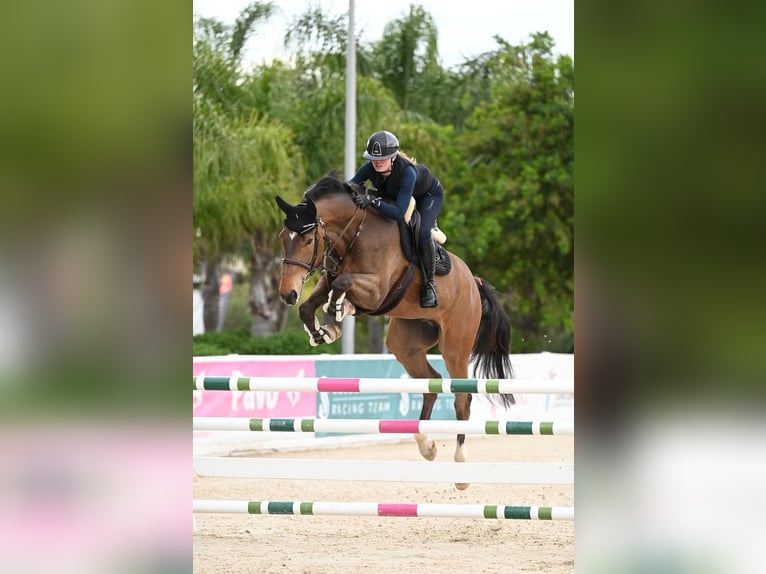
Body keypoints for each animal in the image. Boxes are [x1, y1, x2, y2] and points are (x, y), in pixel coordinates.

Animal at [275, 173, 514, 489]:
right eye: (282, 237)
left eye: (308, 239)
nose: (287, 294)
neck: (355, 234)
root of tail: (474, 283)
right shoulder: (330, 276)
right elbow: (312, 303)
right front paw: (325, 331)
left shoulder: (376, 291)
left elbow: (343, 286)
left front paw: (337, 310)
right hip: (405, 344)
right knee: (431, 382)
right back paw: (427, 446)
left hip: (455, 346)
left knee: (462, 397)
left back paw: (461, 467)